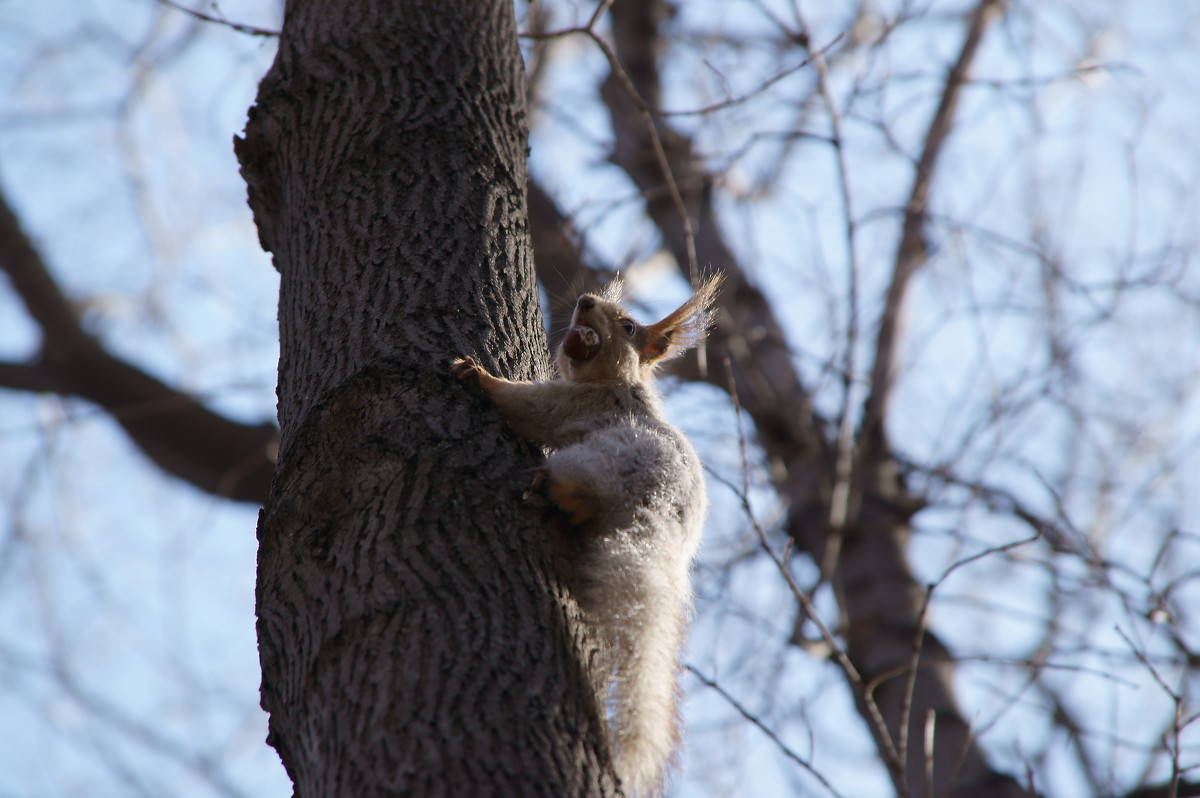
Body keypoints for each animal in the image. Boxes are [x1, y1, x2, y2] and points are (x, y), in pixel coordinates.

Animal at [448, 272, 710, 792]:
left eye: (629, 327)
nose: (585, 301)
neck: (616, 382)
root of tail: (656, 520)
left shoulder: (569, 402)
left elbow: (525, 406)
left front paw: (479, 375)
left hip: (599, 460)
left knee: (583, 490)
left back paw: (552, 487)